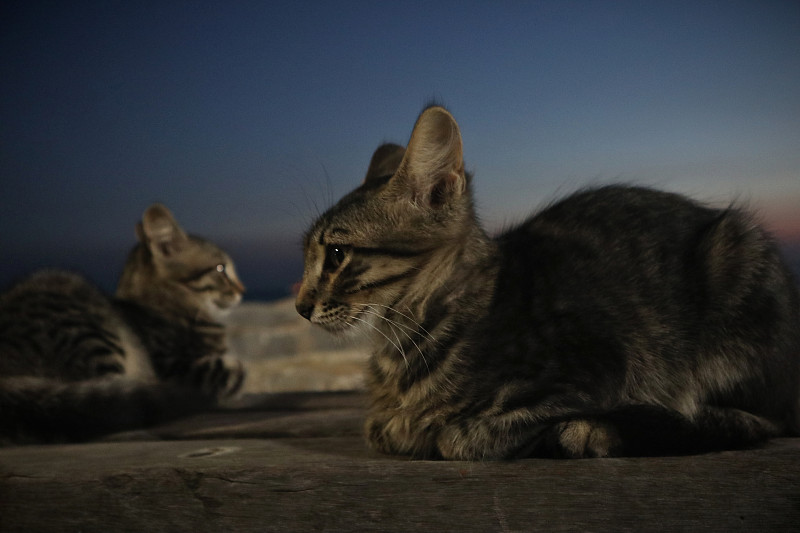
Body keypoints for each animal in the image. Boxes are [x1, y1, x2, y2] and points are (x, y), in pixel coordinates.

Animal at [296, 106, 800, 460]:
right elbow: (379, 428)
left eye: (336, 255)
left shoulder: (594, 373)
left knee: (757, 422)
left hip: (736, 254)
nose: (300, 306)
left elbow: (456, 437)